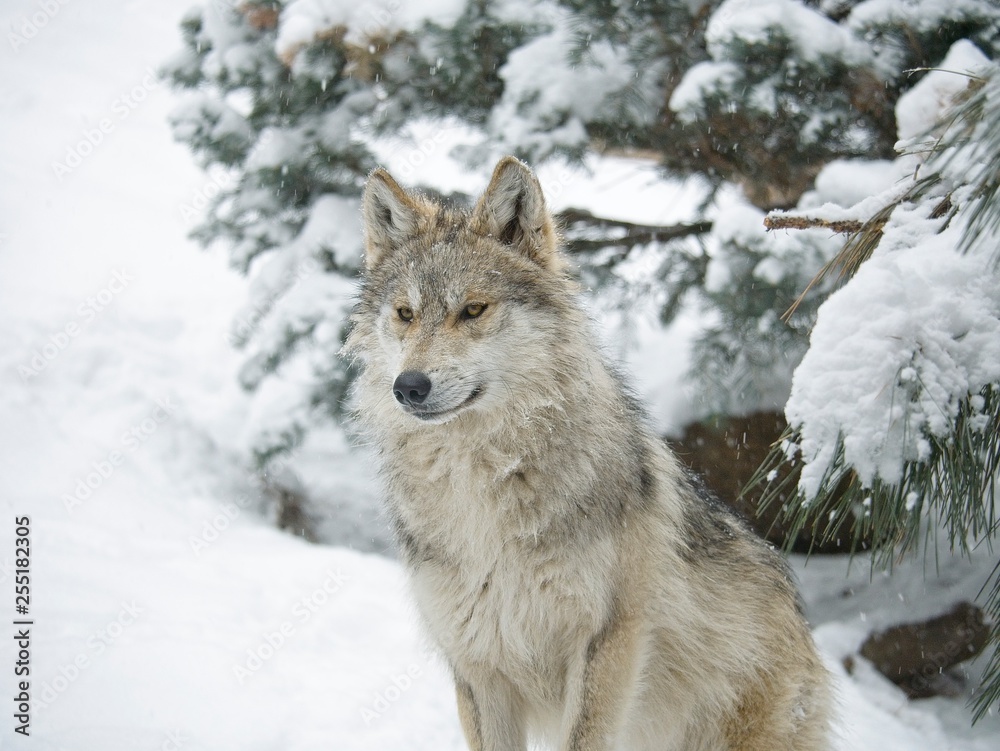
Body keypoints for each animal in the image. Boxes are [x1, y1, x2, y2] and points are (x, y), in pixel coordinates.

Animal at [342, 156, 828, 748]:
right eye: (406, 313)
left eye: (473, 310)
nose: (409, 386)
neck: (482, 485)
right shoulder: (478, 665)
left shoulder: (606, 642)